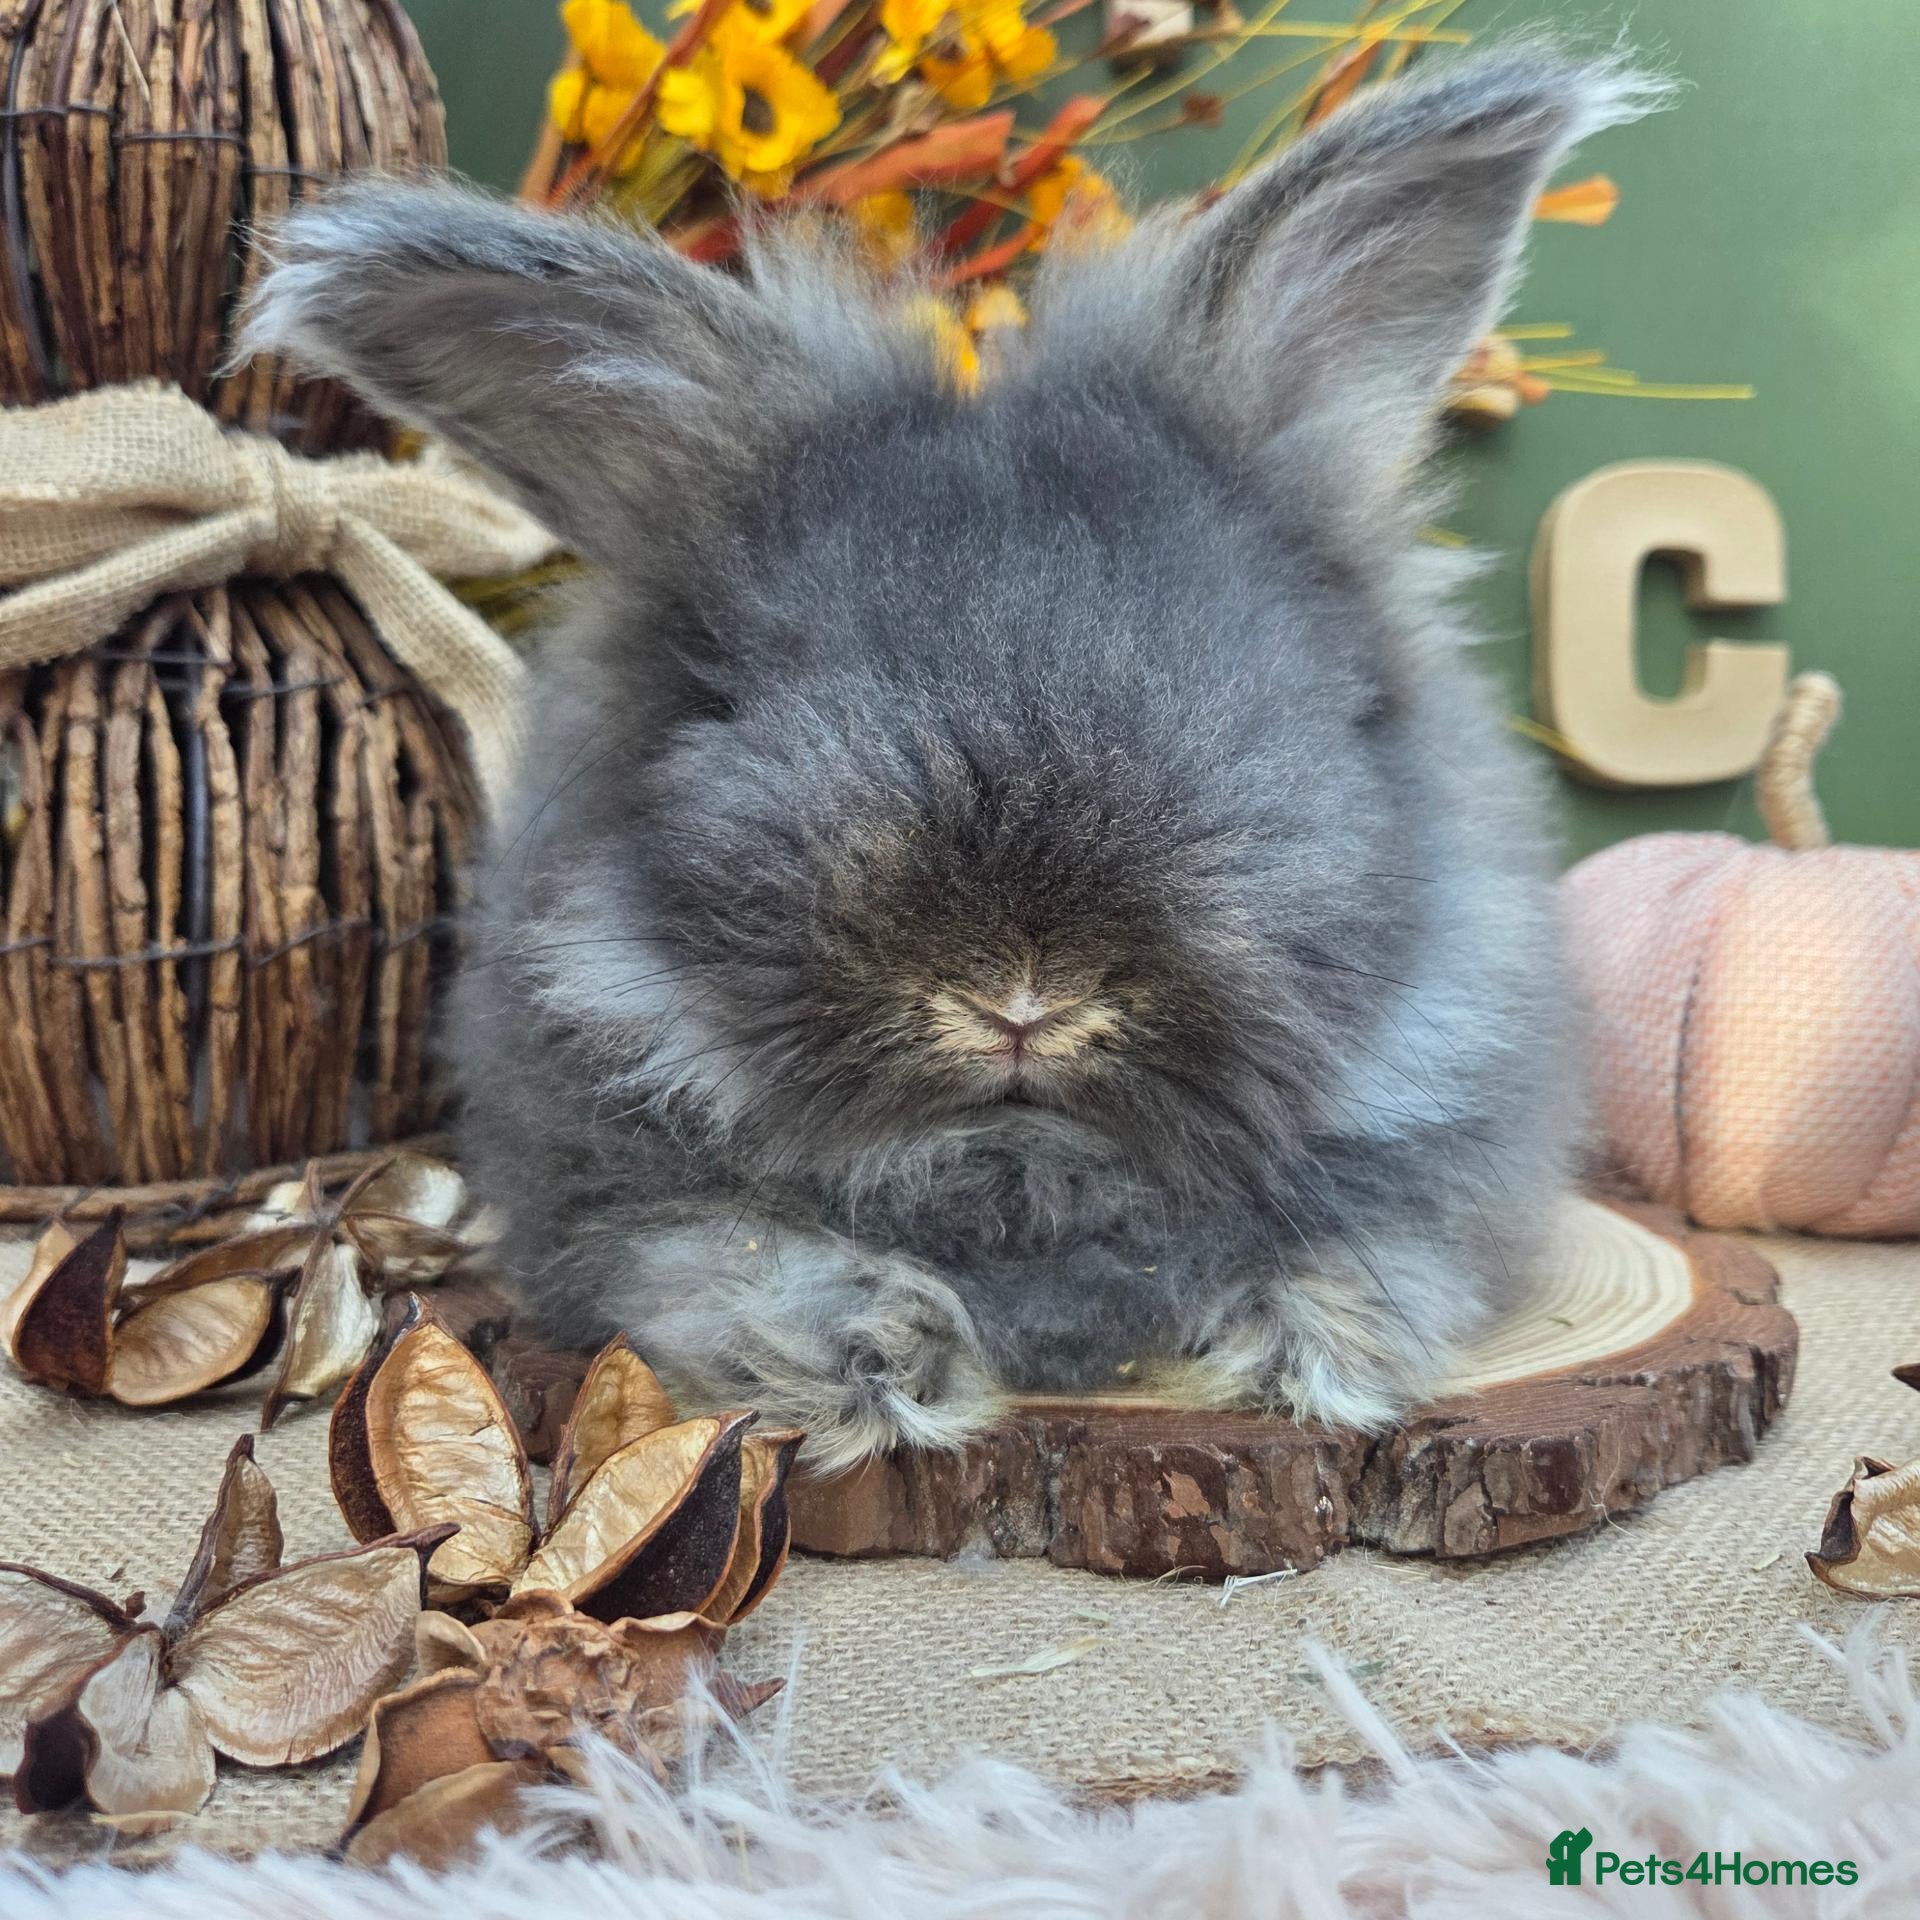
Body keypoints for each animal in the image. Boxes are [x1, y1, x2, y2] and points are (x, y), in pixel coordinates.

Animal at [247, 45, 1656, 1469]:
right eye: (731, 698)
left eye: (1280, 695)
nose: (1020, 998)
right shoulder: (623, 1215)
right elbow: (730, 1261)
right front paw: (872, 1359)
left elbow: (1374, 1249)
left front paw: (1313, 1350)